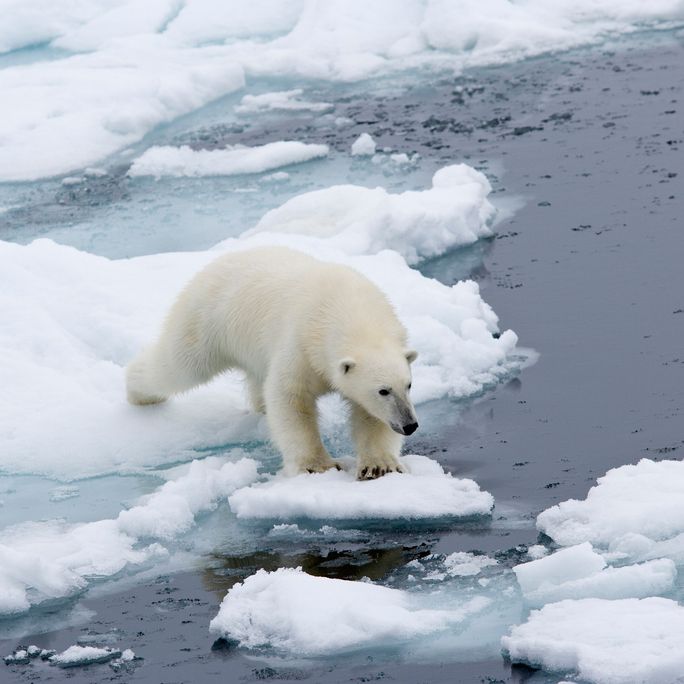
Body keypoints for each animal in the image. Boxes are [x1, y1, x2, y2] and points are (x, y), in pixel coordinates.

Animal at [126, 246, 419, 479]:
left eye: (409, 385)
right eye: (383, 390)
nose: (409, 425)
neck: (350, 311)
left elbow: (370, 416)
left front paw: (379, 466)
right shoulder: (300, 344)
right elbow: (291, 398)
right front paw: (317, 466)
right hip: (206, 320)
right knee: (180, 366)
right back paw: (138, 392)